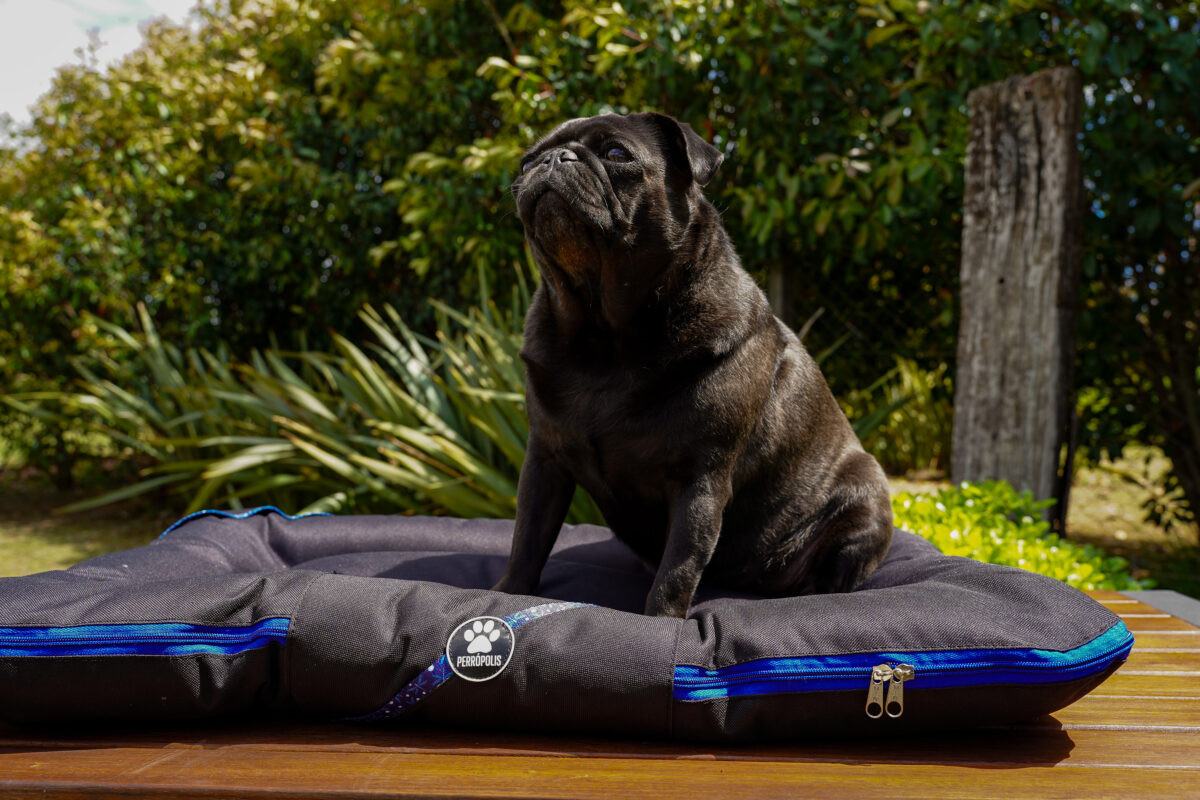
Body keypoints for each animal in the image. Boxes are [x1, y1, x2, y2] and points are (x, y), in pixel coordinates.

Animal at [492, 112, 893, 617]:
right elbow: (527, 538)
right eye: (527, 162)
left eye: (616, 154)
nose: (553, 159)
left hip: (866, 502)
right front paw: (505, 594)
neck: (604, 334)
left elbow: (679, 568)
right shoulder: (544, 462)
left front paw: (661, 621)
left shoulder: (699, 482)